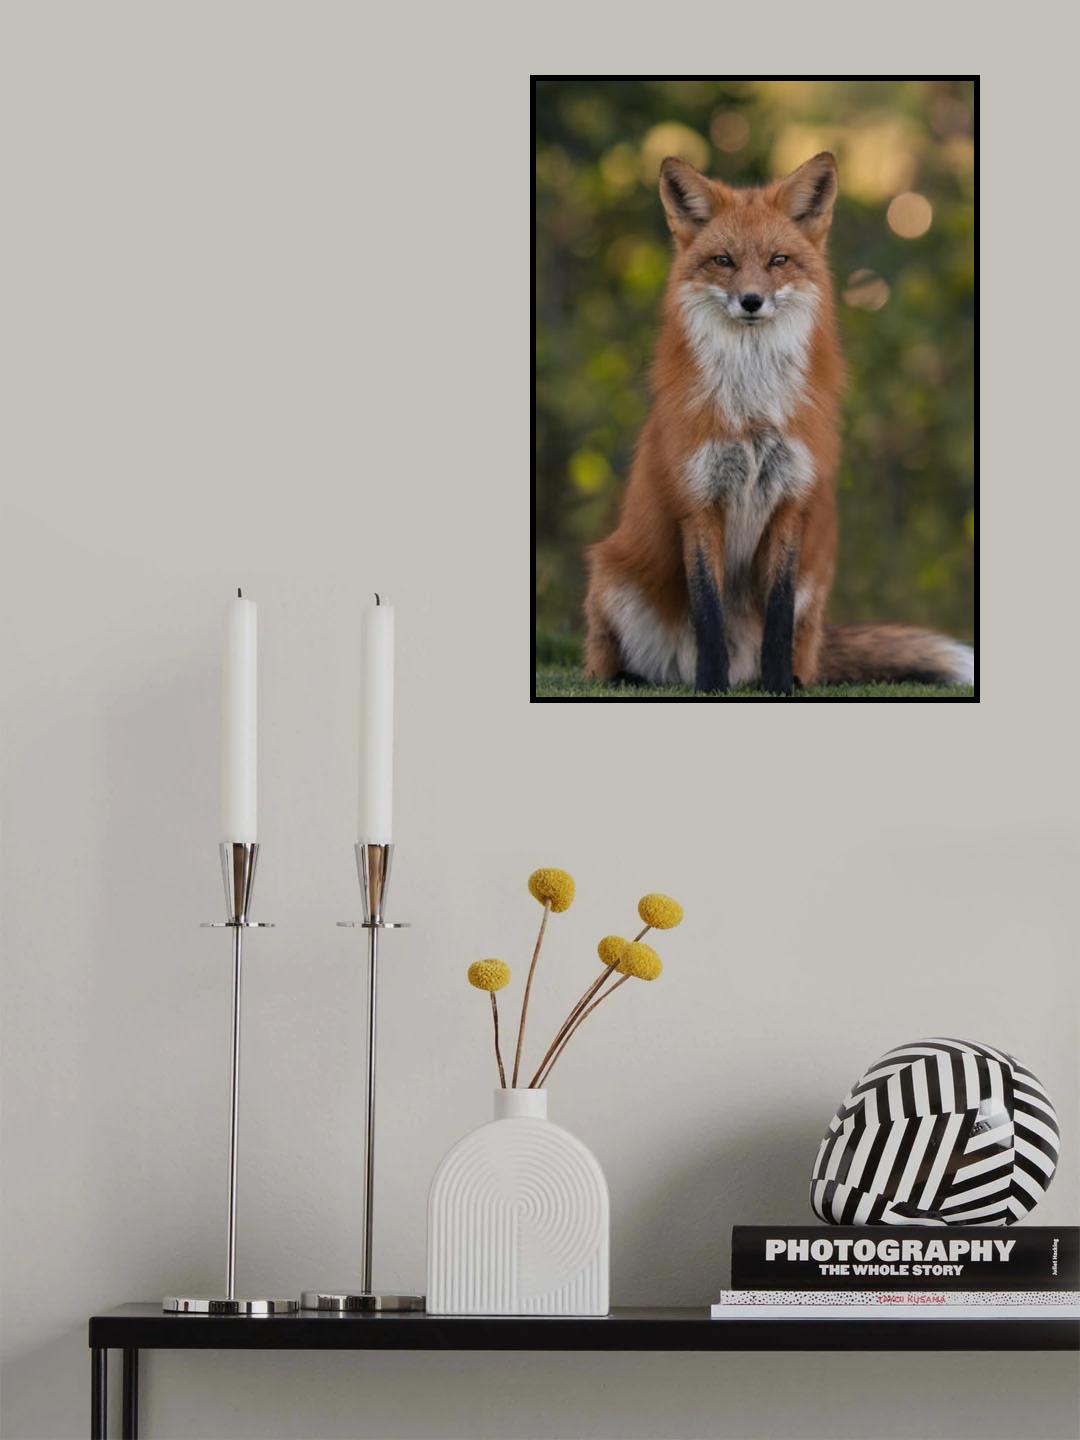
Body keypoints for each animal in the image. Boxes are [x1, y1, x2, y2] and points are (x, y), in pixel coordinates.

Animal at [582, 151, 974, 694]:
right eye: (724, 261)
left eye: (777, 260)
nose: (751, 300)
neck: (752, 412)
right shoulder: (699, 504)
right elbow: (708, 616)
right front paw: (711, 687)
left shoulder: (792, 499)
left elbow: (779, 615)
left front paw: (778, 687)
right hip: (613, 576)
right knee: (612, 662)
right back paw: (636, 678)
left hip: (815, 584)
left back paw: (790, 679)